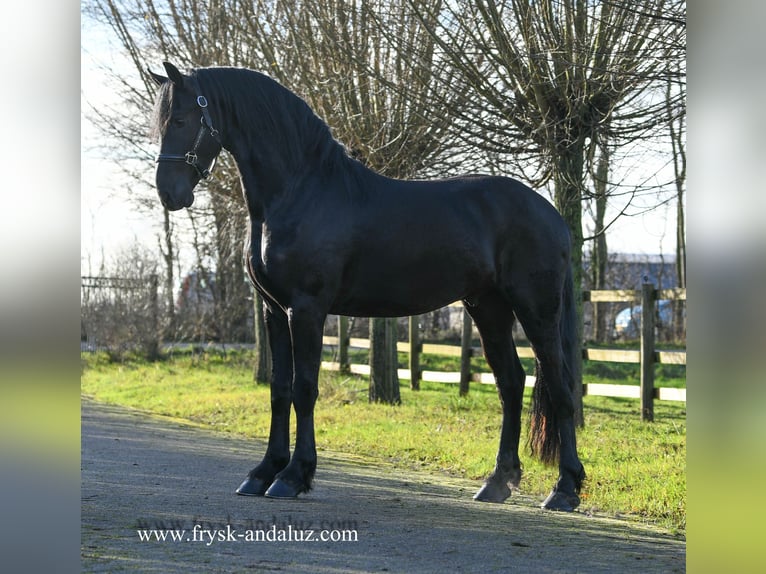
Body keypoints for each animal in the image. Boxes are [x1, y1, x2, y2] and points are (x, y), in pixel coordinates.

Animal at [147, 63, 584, 512]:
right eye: (159, 123)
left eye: (180, 120)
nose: (169, 193)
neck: (301, 191)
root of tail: (550, 214)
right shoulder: (274, 310)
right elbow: (279, 389)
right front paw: (262, 472)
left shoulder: (306, 309)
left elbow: (304, 389)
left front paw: (293, 476)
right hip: (488, 307)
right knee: (510, 384)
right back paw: (498, 481)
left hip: (536, 309)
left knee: (560, 387)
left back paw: (564, 489)